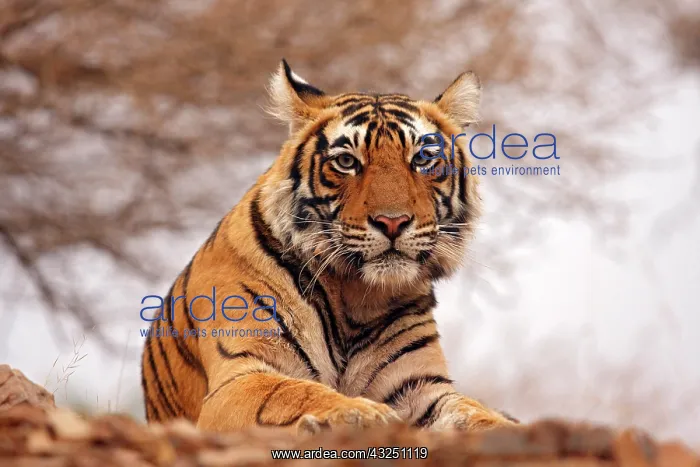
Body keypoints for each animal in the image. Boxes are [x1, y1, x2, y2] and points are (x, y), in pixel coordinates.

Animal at [140, 59, 518, 434]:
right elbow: (293, 392)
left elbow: (471, 411)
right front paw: (361, 413)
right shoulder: (239, 377)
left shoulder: (420, 385)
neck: (356, 296)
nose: (392, 222)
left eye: (423, 159)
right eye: (347, 162)